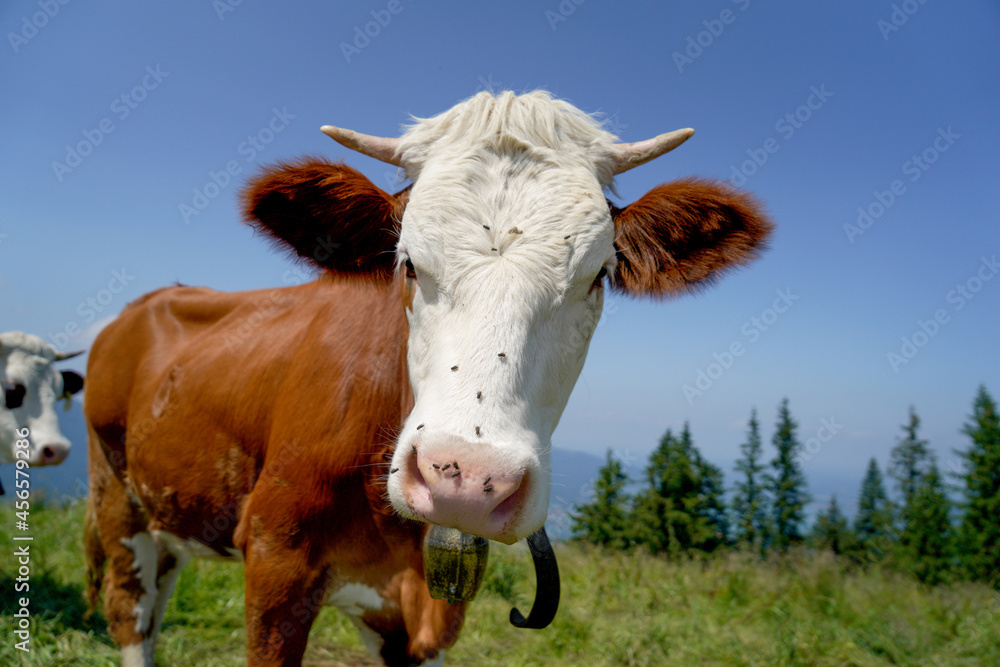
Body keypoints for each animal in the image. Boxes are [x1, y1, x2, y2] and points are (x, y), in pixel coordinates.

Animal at [86, 90, 772, 667]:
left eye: (599, 275)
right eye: (408, 262)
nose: (466, 481)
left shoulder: (420, 615)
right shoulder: (275, 564)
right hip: (116, 494)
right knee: (131, 616)